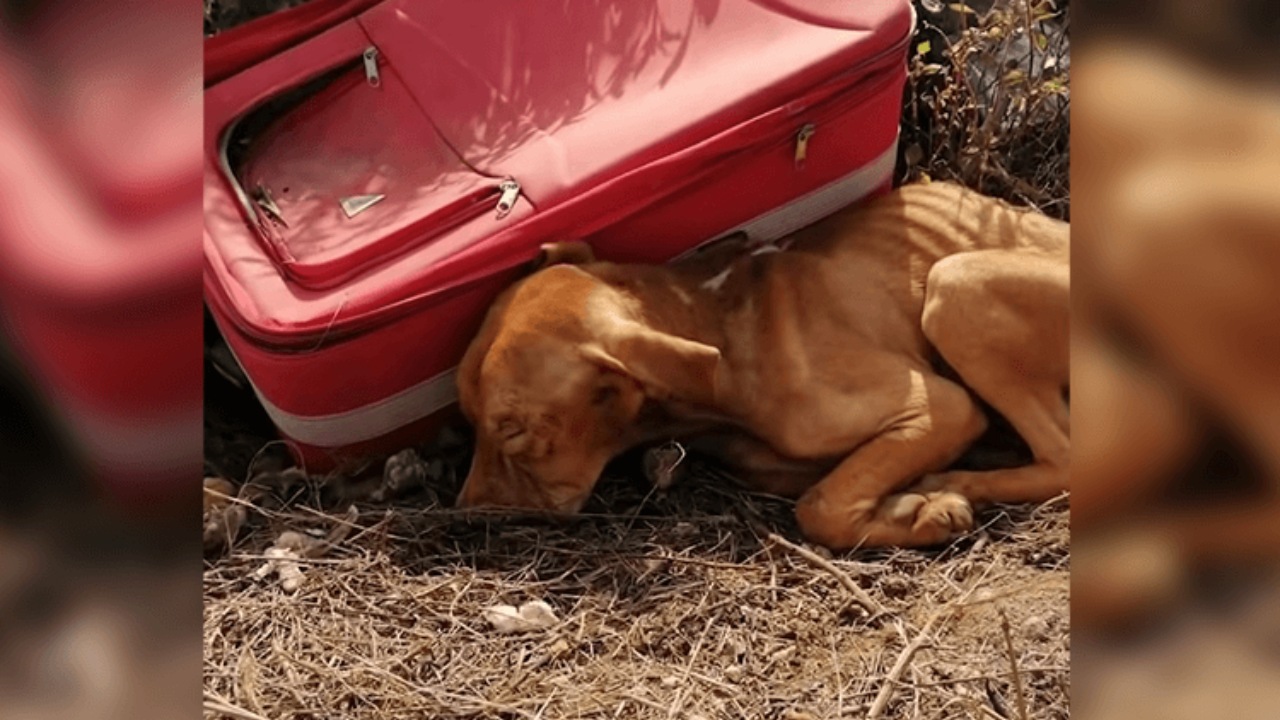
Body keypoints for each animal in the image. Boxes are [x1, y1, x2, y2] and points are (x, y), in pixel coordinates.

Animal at [455, 180, 1064, 548]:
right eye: (468, 417)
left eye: (513, 430)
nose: (462, 515)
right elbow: (828, 488)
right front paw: (910, 509)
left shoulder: (941, 405)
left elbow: (821, 506)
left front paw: (926, 510)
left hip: (953, 285)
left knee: (1061, 456)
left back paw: (962, 479)